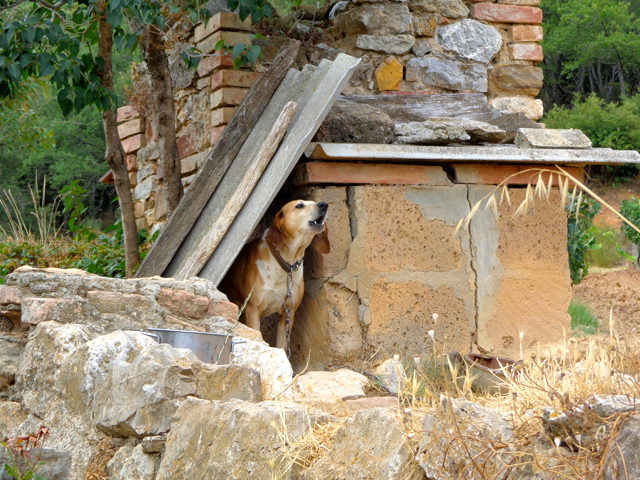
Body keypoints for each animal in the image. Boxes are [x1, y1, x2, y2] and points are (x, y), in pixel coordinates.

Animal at [220, 201, 330, 350]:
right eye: (299, 205)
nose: (324, 204)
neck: (287, 263)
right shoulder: (253, 310)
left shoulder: (288, 314)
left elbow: (281, 347)